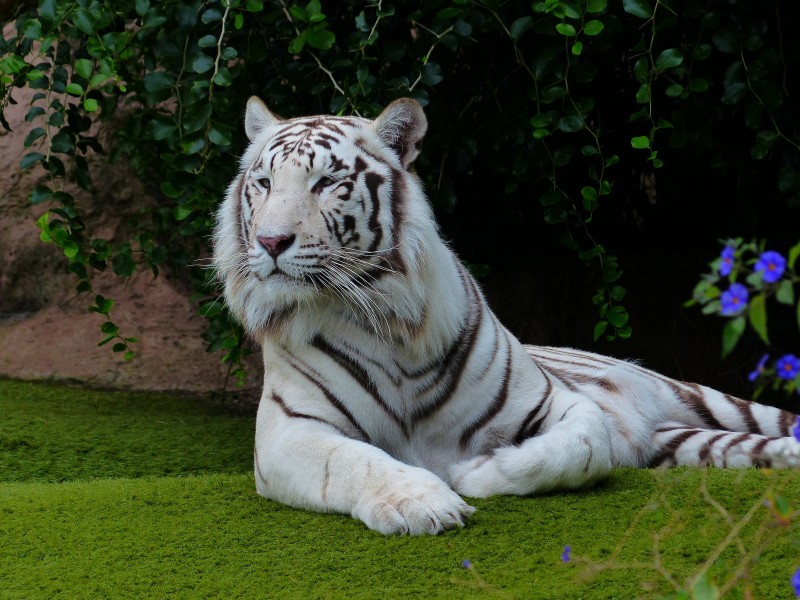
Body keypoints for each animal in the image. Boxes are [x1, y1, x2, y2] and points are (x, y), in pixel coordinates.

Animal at [212, 97, 800, 536]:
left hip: (702, 396)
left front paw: (473, 473)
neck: (384, 320)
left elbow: (582, 446)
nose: (270, 241)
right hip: (687, 443)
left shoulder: (555, 401)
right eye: (263, 183)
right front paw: (423, 502)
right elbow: (355, 460)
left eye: (326, 184)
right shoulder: (287, 432)